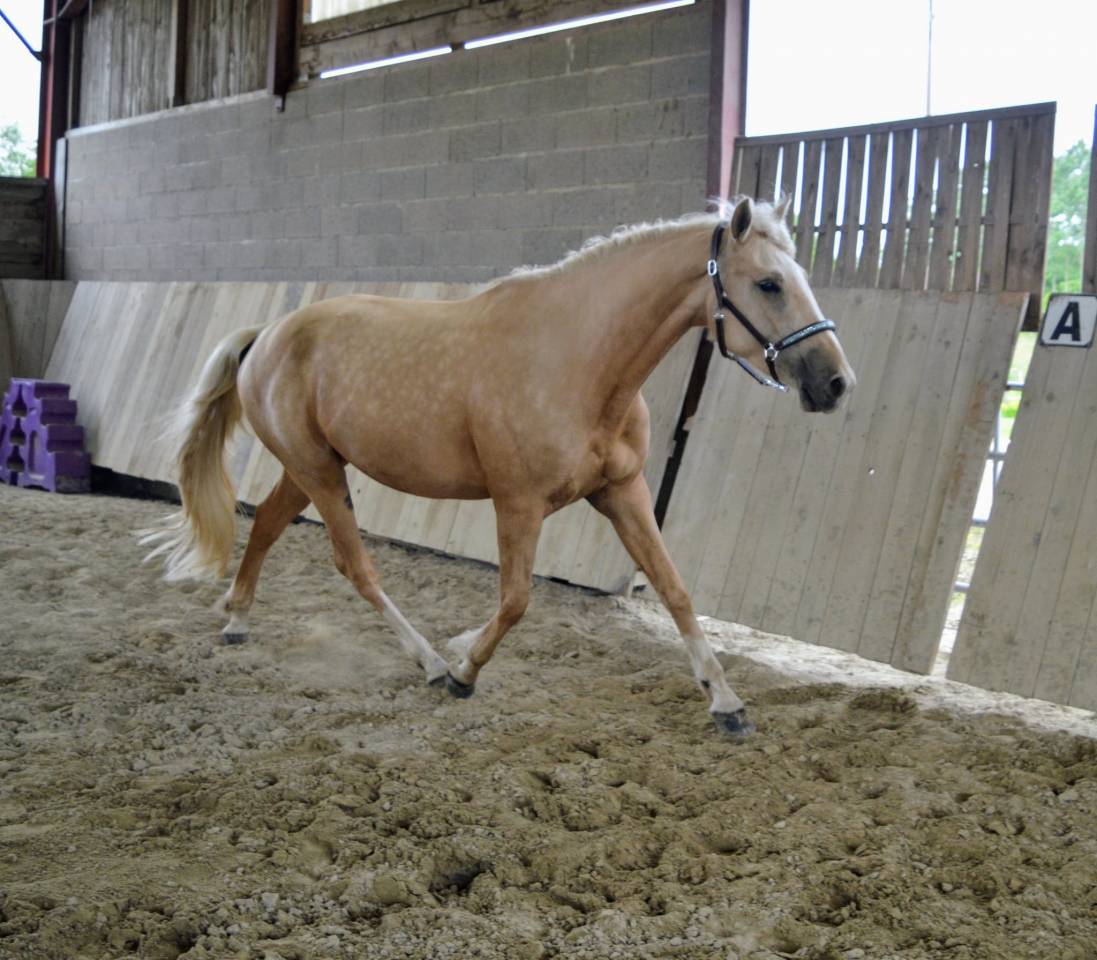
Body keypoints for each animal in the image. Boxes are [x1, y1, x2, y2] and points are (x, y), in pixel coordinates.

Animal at [142, 196, 855, 739]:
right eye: (768, 283)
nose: (836, 384)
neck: (579, 362)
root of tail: (266, 335)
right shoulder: (518, 502)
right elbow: (515, 601)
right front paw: (463, 669)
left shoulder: (622, 492)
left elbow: (675, 590)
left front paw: (727, 704)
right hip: (320, 472)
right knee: (355, 565)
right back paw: (429, 663)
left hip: (309, 467)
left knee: (265, 524)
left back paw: (237, 620)